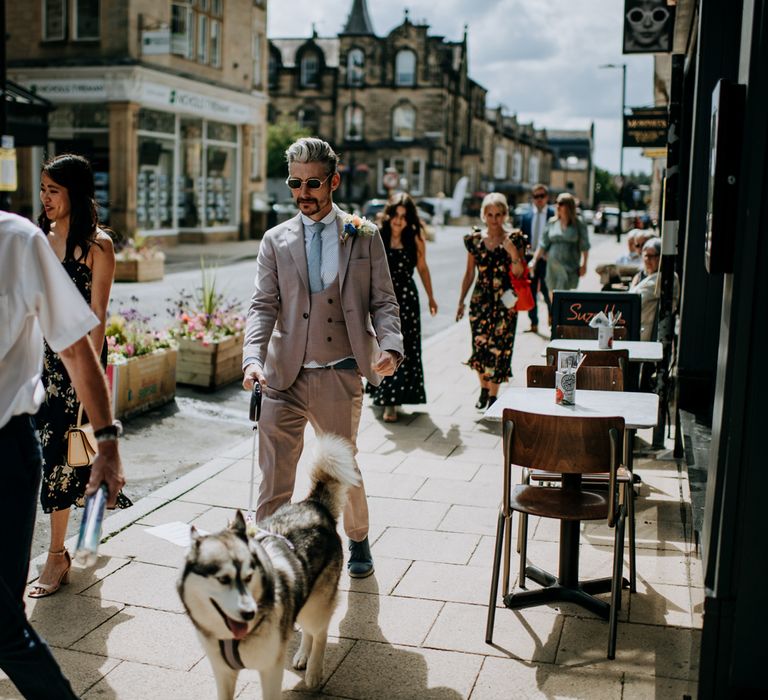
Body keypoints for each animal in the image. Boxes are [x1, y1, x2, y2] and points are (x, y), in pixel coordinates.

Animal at [179, 434, 360, 696]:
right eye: (222, 579)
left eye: (248, 576)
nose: (249, 612)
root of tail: (314, 504)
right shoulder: (223, 672)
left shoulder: (270, 667)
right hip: (304, 598)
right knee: (308, 630)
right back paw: (303, 656)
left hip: (316, 604)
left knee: (320, 631)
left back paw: (314, 671)